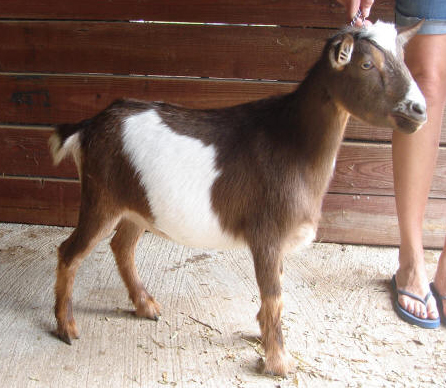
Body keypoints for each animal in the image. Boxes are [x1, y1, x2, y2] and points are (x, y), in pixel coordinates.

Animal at [48, 21, 426, 376]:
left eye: (403, 58)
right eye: (366, 64)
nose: (419, 109)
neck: (292, 143)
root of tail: (88, 126)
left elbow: (277, 293)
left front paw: (264, 338)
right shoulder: (267, 235)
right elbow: (274, 296)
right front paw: (279, 363)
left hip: (138, 207)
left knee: (122, 246)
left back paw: (146, 306)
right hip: (101, 198)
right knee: (69, 252)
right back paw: (67, 327)